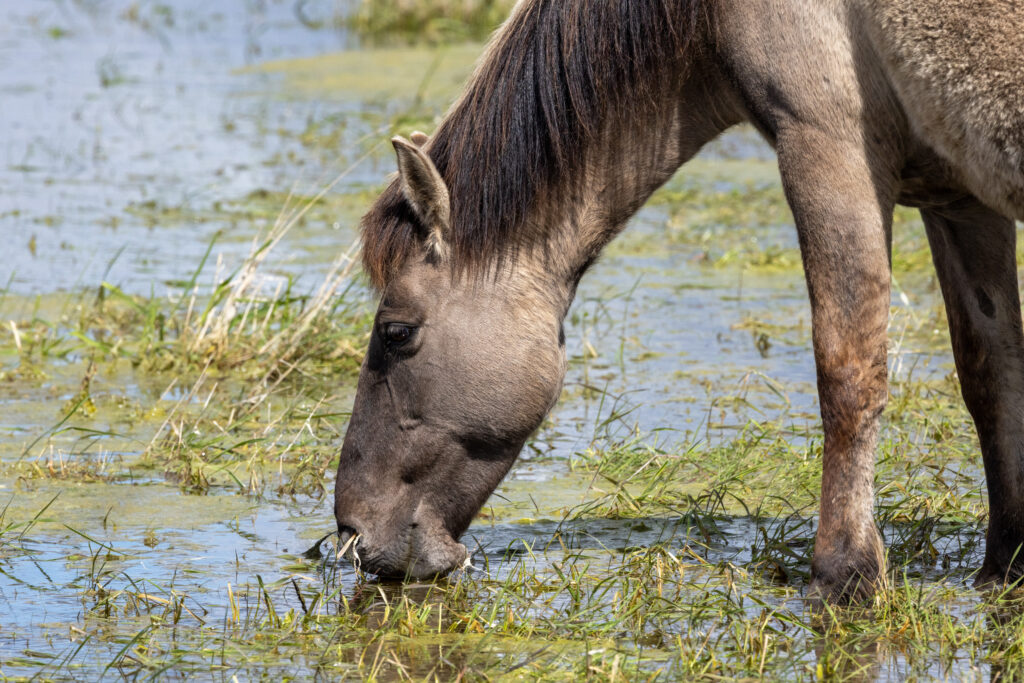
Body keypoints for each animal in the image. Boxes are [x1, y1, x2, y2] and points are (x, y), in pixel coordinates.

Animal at [333, 0, 1024, 602]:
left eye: (396, 332)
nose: (351, 533)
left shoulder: (829, 150)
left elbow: (848, 374)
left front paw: (843, 573)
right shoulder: (960, 200)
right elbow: (992, 376)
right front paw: (1007, 564)